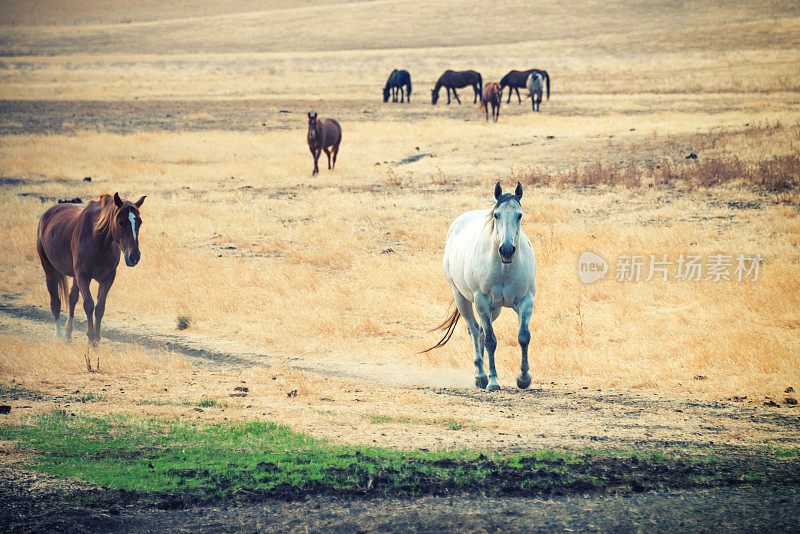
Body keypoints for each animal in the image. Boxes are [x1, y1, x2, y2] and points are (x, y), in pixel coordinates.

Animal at [36, 195, 146, 346]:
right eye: (121, 222)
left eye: (139, 222)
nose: (134, 256)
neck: (98, 241)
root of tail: (46, 215)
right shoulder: (83, 276)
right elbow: (89, 304)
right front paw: (91, 337)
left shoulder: (108, 278)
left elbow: (100, 307)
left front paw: (97, 338)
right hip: (50, 270)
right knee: (56, 302)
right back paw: (58, 334)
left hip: (74, 276)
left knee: (72, 299)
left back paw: (68, 334)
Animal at [424, 182, 536, 392]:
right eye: (496, 215)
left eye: (519, 215)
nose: (507, 250)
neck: (504, 268)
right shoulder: (481, 301)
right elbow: (490, 341)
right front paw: (493, 381)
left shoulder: (526, 301)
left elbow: (523, 336)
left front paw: (524, 378)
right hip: (463, 299)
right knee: (475, 330)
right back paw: (481, 376)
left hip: (495, 308)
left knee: (482, 331)